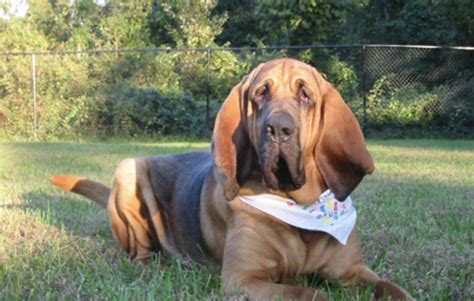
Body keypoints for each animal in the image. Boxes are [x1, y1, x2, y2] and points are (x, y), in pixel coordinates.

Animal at [51, 57, 412, 298]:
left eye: (305, 95)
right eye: (261, 94)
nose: (279, 129)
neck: (299, 208)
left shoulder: (354, 270)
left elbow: (392, 287)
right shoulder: (244, 279)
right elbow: (310, 293)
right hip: (127, 170)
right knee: (139, 253)